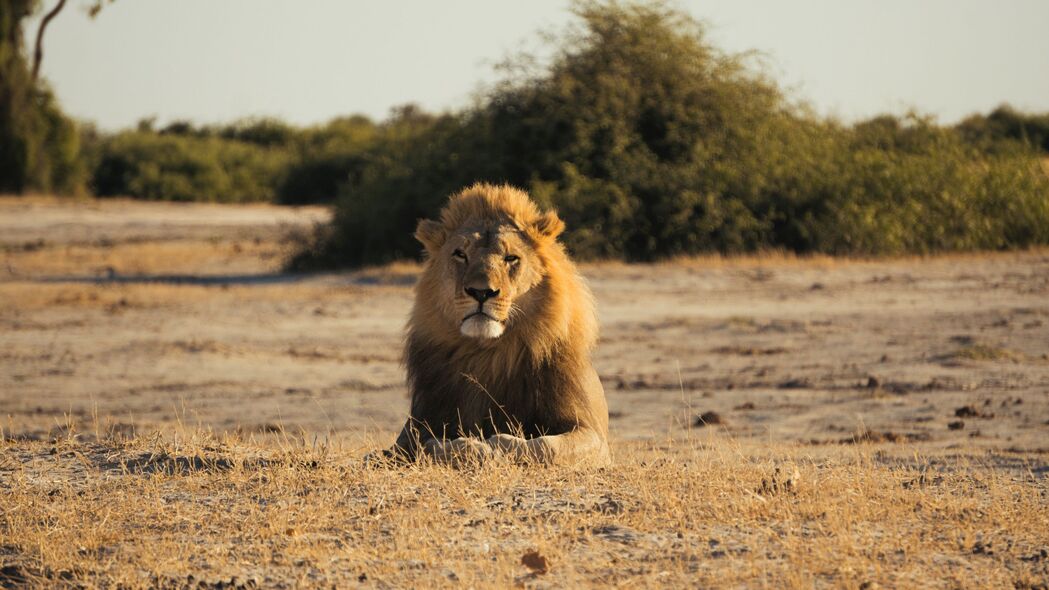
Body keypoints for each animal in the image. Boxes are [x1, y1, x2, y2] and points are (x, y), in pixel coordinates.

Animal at [379, 180, 612, 464]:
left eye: (510, 258)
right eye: (460, 254)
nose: (481, 292)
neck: (488, 353)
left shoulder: (593, 434)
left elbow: (545, 446)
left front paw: (491, 446)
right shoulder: (415, 427)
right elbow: (411, 448)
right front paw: (464, 447)